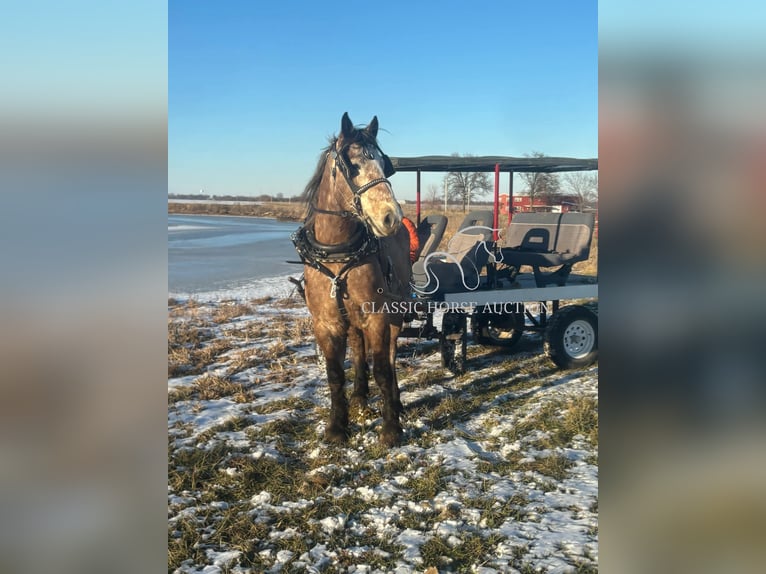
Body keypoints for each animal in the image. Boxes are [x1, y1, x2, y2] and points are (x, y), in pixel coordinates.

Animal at [294, 111, 414, 446]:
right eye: (352, 166)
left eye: (385, 164)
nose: (390, 217)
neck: (338, 254)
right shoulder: (326, 323)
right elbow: (335, 374)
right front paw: (337, 426)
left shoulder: (378, 317)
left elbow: (383, 369)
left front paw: (391, 427)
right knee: (359, 349)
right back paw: (360, 395)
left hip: (394, 314)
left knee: (389, 356)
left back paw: (395, 402)